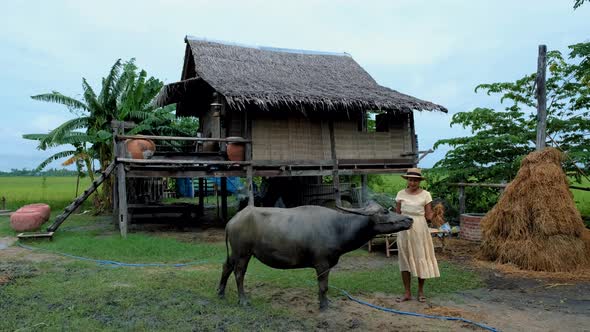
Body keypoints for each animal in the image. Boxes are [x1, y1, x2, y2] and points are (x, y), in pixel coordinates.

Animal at [215, 201, 414, 310]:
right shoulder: (322, 264)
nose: (409, 219)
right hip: (243, 253)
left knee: (226, 267)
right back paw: (243, 300)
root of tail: (232, 221)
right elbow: (323, 287)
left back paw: (220, 293)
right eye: (385, 211)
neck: (338, 228)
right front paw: (324, 306)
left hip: (235, 253)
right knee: (239, 273)